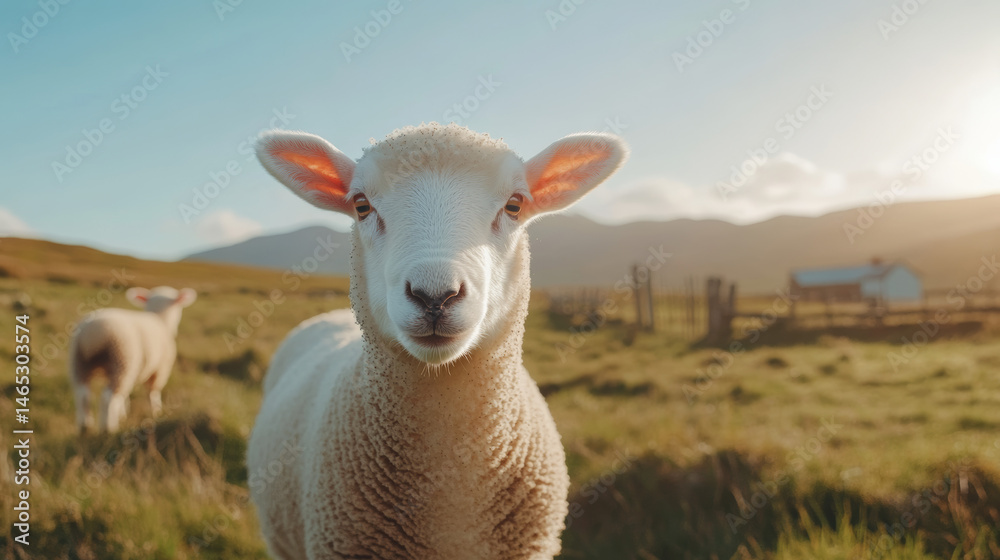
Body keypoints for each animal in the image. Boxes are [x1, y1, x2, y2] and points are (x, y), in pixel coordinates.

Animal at [69, 286, 197, 433]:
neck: (160, 318)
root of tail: (94, 332)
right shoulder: (160, 369)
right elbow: (153, 392)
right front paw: (156, 412)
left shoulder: (133, 371)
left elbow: (124, 396)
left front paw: (122, 413)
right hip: (122, 359)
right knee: (108, 396)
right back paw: (108, 428)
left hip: (79, 361)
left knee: (83, 394)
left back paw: (85, 427)